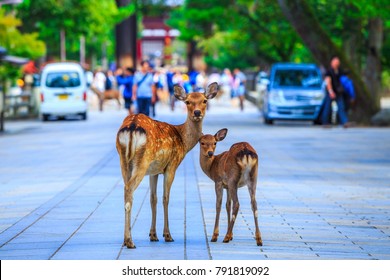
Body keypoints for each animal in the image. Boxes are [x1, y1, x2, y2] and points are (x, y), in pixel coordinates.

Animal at [116, 82, 219, 247]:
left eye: (204, 100)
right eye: (188, 101)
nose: (197, 112)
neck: (183, 140)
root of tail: (131, 128)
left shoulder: (154, 171)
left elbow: (153, 199)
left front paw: (153, 235)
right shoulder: (172, 165)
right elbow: (166, 198)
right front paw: (167, 235)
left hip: (124, 161)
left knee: (126, 189)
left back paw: (126, 240)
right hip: (142, 160)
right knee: (129, 189)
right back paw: (130, 241)